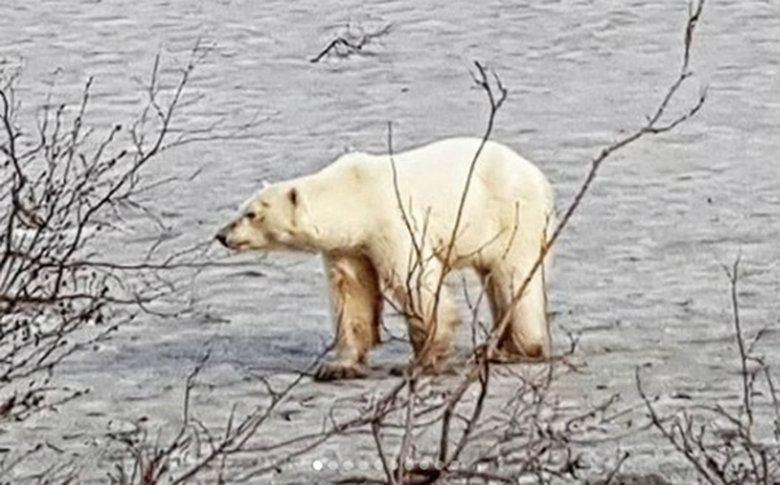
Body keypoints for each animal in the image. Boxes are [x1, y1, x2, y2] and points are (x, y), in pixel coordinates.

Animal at [216, 137, 556, 381]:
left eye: (251, 214)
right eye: (240, 209)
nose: (221, 234)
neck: (355, 195)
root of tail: (540, 177)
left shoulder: (393, 221)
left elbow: (415, 282)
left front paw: (419, 362)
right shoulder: (348, 245)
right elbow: (352, 292)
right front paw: (338, 366)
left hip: (509, 216)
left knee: (513, 277)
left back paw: (516, 350)